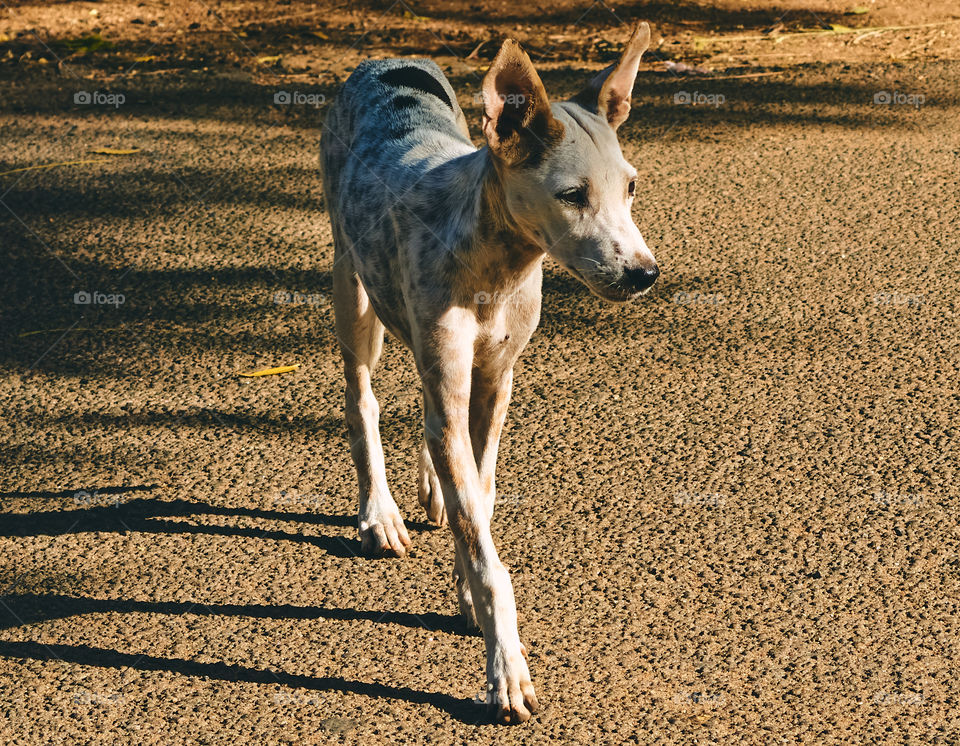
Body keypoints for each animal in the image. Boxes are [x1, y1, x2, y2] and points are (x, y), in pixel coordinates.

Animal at [322, 21, 660, 720]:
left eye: (632, 186)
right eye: (572, 195)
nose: (645, 274)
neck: (497, 266)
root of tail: (384, 57)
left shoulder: (493, 383)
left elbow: (480, 492)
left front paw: (465, 585)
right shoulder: (452, 378)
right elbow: (485, 545)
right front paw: (506, 667)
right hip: (353, 292)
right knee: (362, 398)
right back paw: (379, 513)